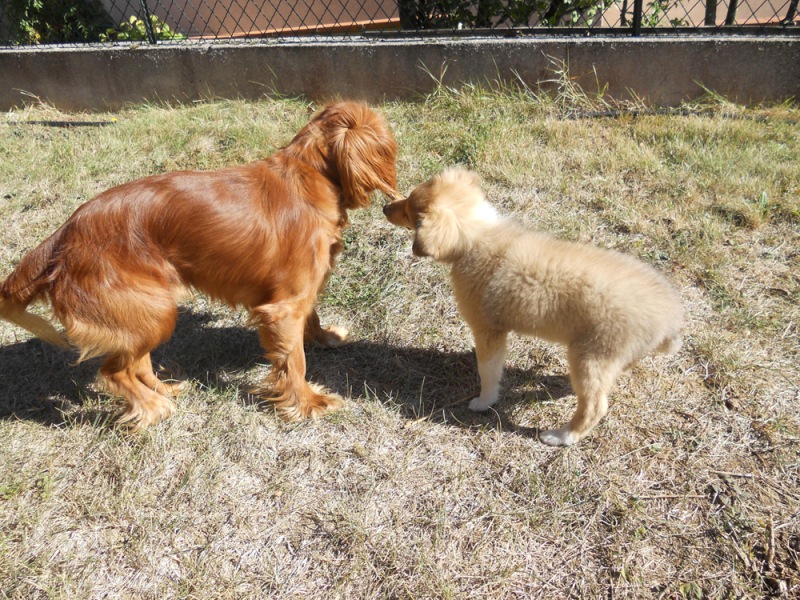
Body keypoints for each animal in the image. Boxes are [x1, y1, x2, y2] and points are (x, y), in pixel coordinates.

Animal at [0, 102, 398, 432]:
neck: (308, 173)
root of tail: (64, 235)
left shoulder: (298, 294)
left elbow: (310, 318)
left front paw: (324, 338)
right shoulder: (282, 309)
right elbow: (293, 361)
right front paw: (307, 403)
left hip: (144, 313)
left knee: (136, 362)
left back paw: (162, 392)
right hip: (154, 310)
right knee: (114, 370)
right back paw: (152, 407)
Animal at [384, 169, 684, 446]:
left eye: (409, 212)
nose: (385, 208)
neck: (475, 236)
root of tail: (669, 316)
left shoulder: (489, 331)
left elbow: (488, 372)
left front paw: (483, 402)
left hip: (590, 356)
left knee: (595, 406)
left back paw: (561, 436)